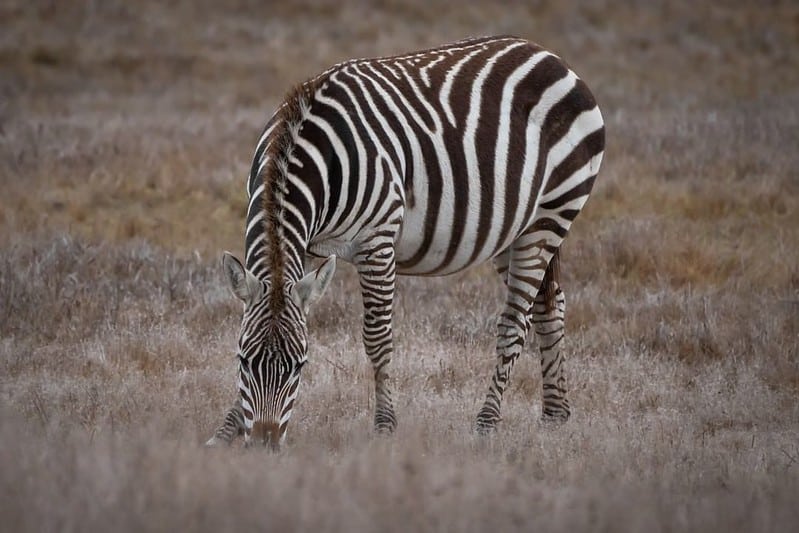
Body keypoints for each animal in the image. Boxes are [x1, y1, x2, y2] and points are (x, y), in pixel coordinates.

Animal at [204, 35, 605, 449]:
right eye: (242, 360)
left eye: (301, 365)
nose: (264, 444)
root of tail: (546, 54)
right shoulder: (306, 249)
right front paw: (225, 433)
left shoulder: (377, 241)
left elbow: (377, 338)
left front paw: (384, 426)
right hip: (515, 229)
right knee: (549, 304)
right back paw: (555, 414)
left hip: (552, 212)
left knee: (514, 322)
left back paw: (487, 422)